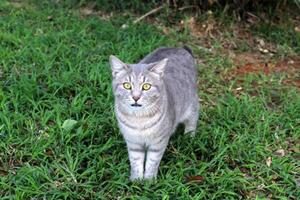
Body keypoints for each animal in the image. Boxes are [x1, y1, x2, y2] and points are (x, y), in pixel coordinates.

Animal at [108, 46, 199, 180]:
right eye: (127, 85)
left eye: (146, 86)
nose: (136, 97)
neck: (139, 119)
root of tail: (180, 48)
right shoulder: (133, 142)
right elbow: (136, 161)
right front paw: (136, 179)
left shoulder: (158, 143)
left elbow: (152, 162)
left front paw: (149, 180)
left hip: (191, 105)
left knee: (192, 121)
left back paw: (189, 138)